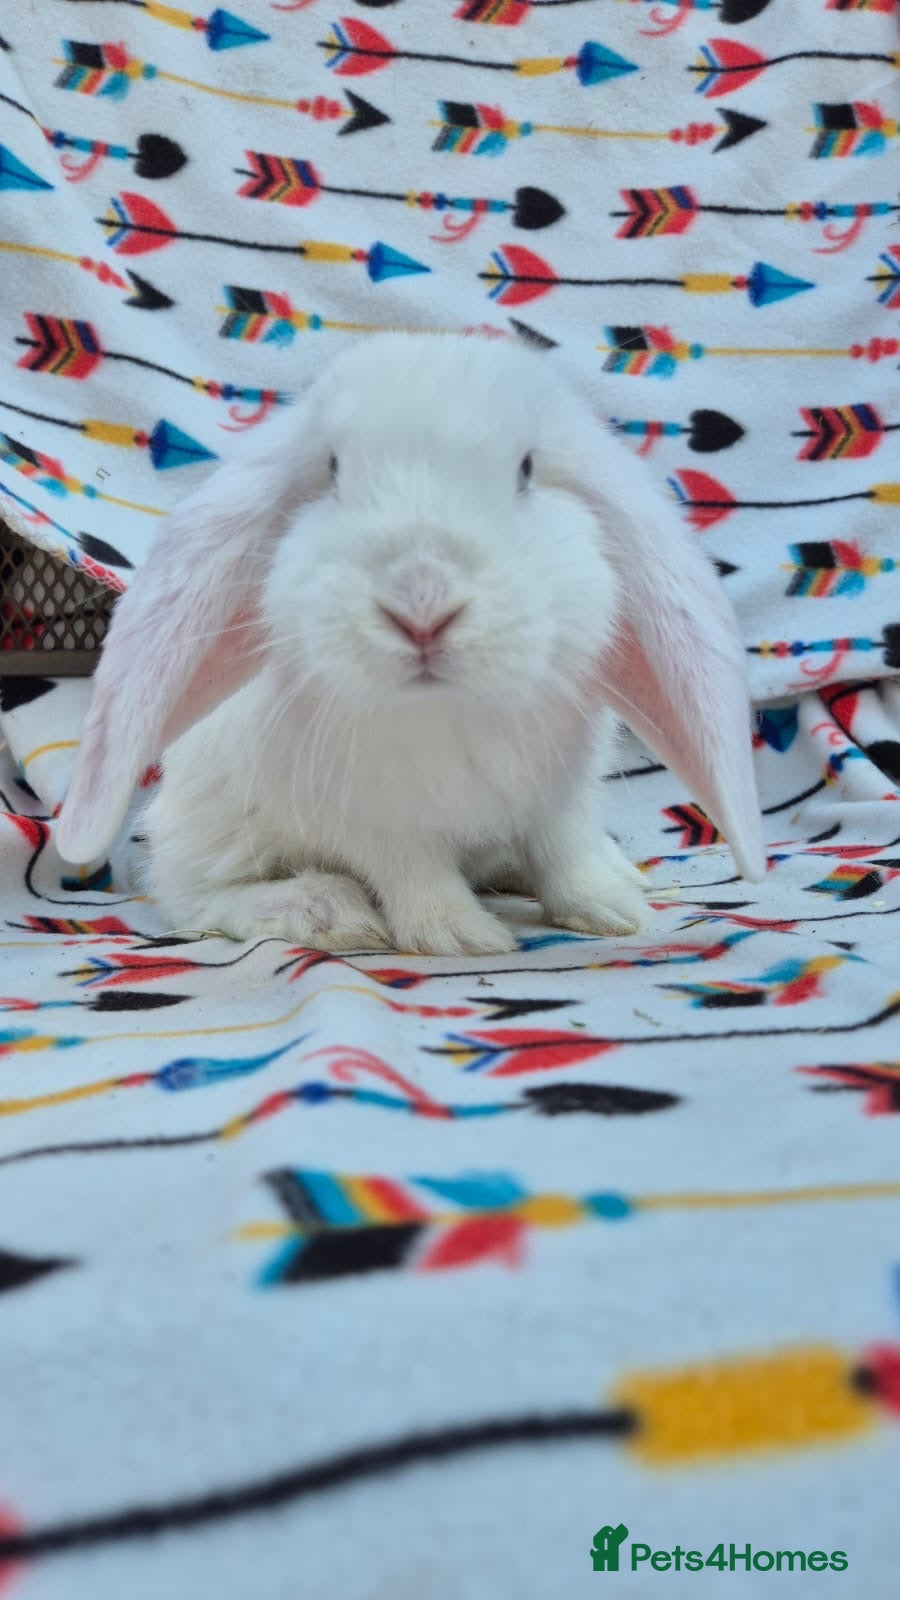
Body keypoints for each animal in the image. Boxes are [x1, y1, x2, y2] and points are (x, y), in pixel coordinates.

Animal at [56, 331, 765, 955]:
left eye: (526, 470)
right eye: (332, 472)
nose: (421, 606)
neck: (444, 707)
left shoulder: (558, 795)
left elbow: (563, 854)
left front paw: (611, 911)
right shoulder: (373, 822)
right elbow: (415, 874)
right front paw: (461, 936)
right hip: (205, 841)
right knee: (200, 902)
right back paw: (324, 911)